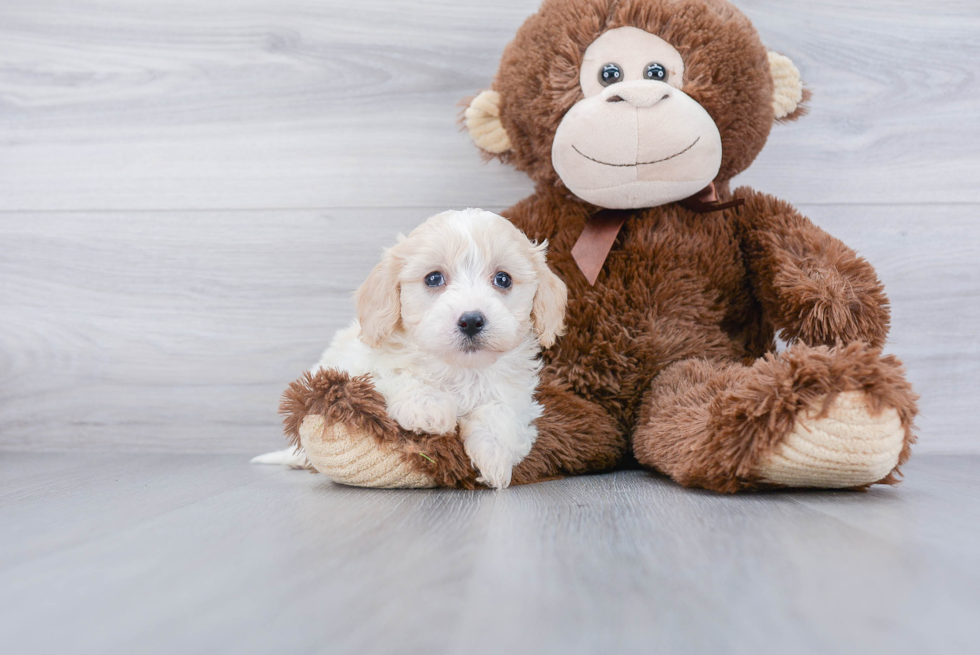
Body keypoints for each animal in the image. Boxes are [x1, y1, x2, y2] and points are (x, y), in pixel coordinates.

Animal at [255, 208, 568, 490]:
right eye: (433, 278)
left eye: (503, 279)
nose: (471, 320)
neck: (460, 369)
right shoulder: (363, 366)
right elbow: (397, 373)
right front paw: (429, 410)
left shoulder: (517, 395)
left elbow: (502, 412)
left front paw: (494, 458)